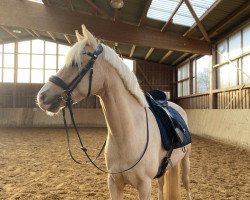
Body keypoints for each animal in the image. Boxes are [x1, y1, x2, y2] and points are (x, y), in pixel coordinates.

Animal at [36, 25, 191, 200]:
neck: (127, 134)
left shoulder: (144, 186)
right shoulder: (114, 183)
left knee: (186, 184)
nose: (42, 97)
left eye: (76, 64)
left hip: (185, 160)